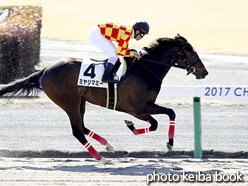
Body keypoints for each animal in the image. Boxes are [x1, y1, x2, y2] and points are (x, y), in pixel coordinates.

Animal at [0, 34, 208, 163]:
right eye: (191, 50)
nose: (204, 72)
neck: (145, 69)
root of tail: (45, 69)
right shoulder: (139, 108)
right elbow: (166, 116)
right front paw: (169, 144)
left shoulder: (139, 109)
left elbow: (160, 119)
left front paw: (132, 127)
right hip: (69, 102)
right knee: (78, 131)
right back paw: (102, 158)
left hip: (80, 101)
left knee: (82, 126)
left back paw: (108, 145)